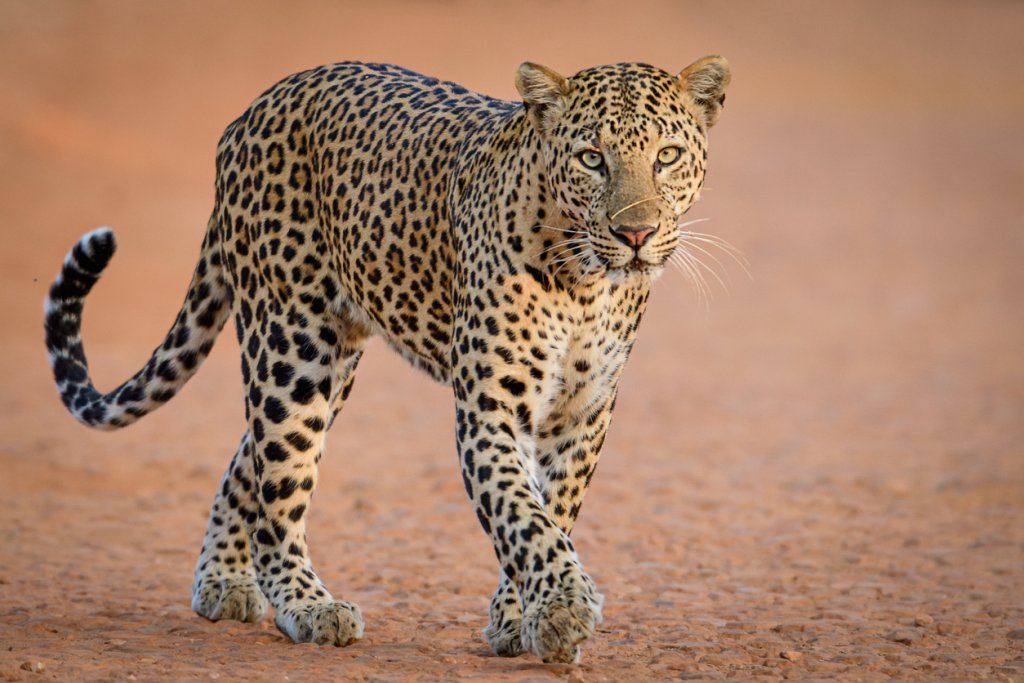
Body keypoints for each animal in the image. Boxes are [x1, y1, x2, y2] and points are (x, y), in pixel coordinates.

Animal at [41, 56, 729, 663]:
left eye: (667, 156)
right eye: (592, 158)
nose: (635, 234)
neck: (586, 286)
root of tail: (253, 109)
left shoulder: (582, 415)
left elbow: (552, 513)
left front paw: (522, 619)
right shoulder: (489, 410)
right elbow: (519, 514)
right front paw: (560, 607)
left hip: (329, 364)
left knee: (249, 461)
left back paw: (223, 582)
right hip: (292, 348)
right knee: (279, 484)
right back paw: (307, 606)